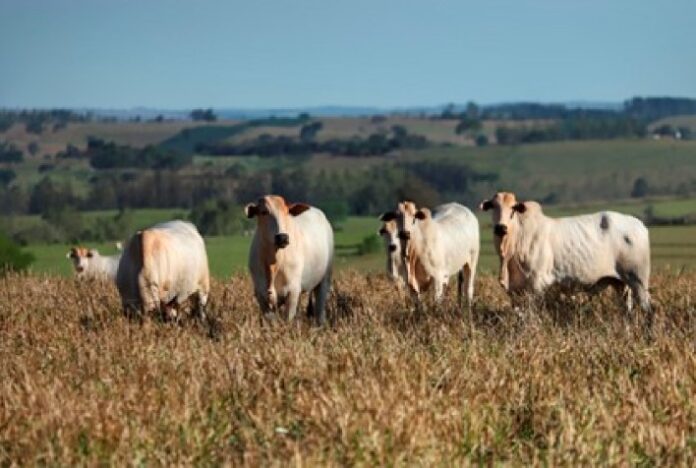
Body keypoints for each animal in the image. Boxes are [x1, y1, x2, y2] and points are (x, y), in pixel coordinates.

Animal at [245, 196, 334, 324]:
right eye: (264, 212)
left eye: (287, 212)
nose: (282, 237)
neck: (274, 262)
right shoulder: (261, 295)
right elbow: (272, 321)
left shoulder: (292, 292)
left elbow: (288, 320)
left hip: (324, 279)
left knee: (320, 312)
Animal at [478, 190, 652, 318]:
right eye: (493, 206)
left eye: (513, 208)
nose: (501, 228)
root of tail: (639, 225)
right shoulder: (515, 291)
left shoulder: (536, 285)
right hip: (621, 284)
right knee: (627, 311)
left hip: (639, 281)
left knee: (648, 309)